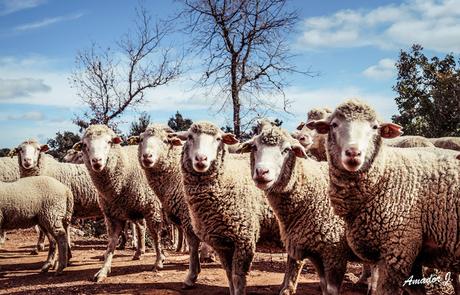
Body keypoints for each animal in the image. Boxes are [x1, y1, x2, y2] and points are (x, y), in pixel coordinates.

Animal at [77, 124, 165, 282]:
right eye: (85, 145)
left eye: (108, 142)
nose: (97, 161)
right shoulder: (112, 216)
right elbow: (111, 244)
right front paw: (103, 270)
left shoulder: (152, 207)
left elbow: (156, 235)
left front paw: (159, 261)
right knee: (141, 227)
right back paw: (139, 252)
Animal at [172, 121, 278, 295]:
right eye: (190, 137)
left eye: (218, 139)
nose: (201, 159)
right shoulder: (220, 242)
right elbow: (229, 275)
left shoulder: (244, 238)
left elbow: (237, 276)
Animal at [237, 125, 370, 295]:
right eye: (254, 147)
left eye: (286, 149)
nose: (262, 172)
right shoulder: (304, 243)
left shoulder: (334, 251)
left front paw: (287, 289)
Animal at [306, 100, 460, 295]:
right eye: (334, 125)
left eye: (375, 127)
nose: (353, 153)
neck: (384, 175)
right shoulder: (410, 254)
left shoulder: (398, 247)